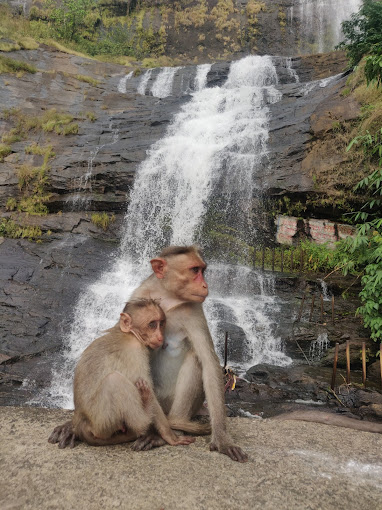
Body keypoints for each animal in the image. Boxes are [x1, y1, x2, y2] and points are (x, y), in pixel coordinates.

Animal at [48, 300, 198, 448]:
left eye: (161, 323)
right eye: (152, 324)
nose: (160, 336)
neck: (131, 334)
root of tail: (80, 423)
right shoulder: (135, 352)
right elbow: (148, 388)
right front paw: (170, 436)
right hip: (101, 422)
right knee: (115, 381)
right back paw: (145, 412)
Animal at [130, 244, 249, 462]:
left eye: (203, 270)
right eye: (194, 270)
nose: (205, 285)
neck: (167, 299)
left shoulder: (194, 310)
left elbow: (209, 362)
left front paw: (222, 439)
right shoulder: (136, 298)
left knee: (196, 359)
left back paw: (174, 428)